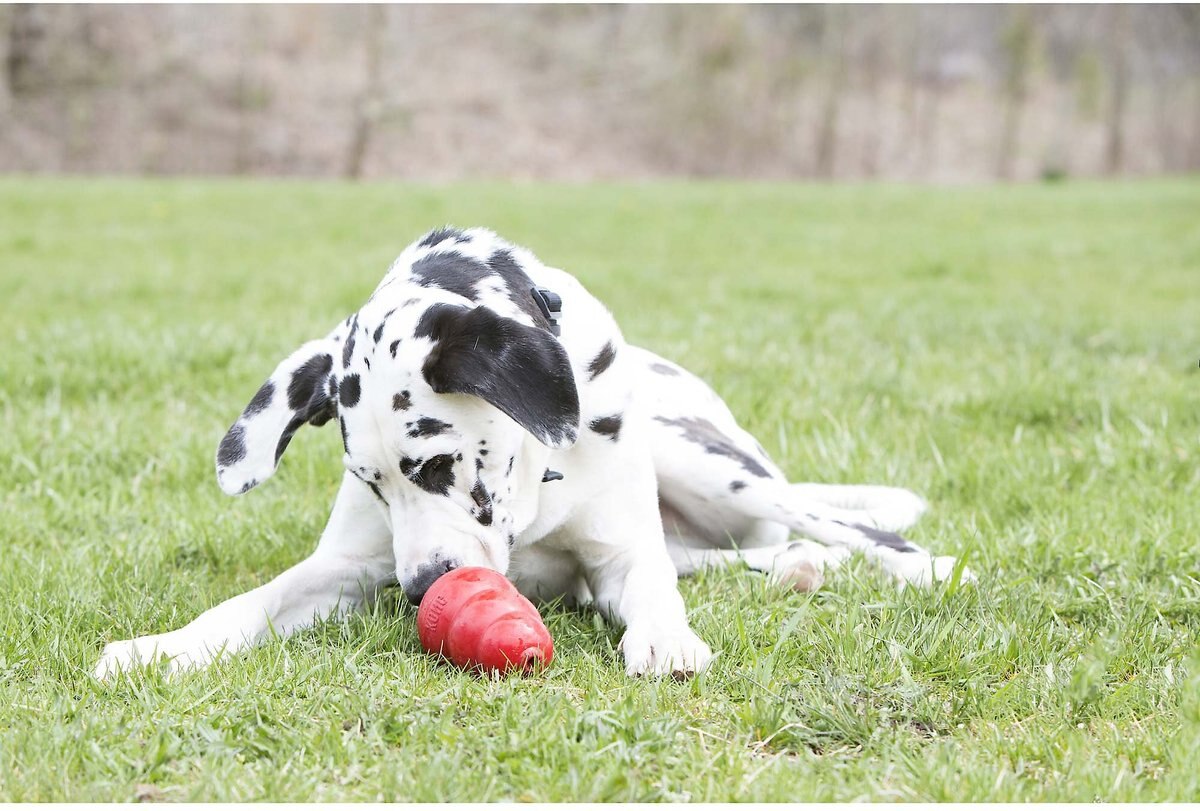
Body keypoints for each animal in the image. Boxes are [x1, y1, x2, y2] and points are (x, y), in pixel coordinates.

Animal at [96, 224, 974, 681]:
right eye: (373, 484)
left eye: (439, 463)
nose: (423, 588)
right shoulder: (345, 567)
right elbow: (249, 601)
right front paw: (161, 646)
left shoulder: (622, 552)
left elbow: (654, 587)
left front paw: (665, 637)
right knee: (739, 555)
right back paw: (796, 567)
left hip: (710, 463)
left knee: (843, 526)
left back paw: (925, 567)